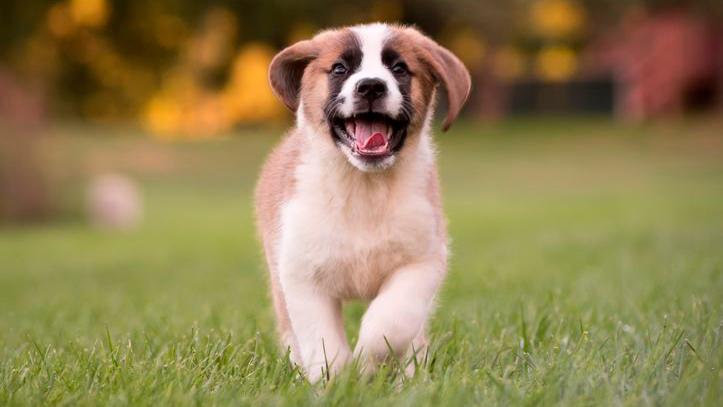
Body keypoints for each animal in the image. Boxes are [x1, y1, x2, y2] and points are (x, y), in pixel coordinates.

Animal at [255, 23, 470, 382]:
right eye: (340, 69)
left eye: (399, 68)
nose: (370, 86)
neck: (363, 188)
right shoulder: (301, 272)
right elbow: (320, 339)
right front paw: (335, 379)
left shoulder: (422, 260)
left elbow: (392, 322)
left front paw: (367, 364)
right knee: (290, 334)